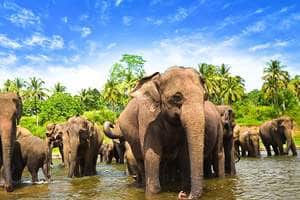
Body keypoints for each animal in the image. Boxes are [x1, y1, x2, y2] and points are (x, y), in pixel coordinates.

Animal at [103, 67, 206, 198]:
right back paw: (142, 185)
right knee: (141, 160)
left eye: (205, 97)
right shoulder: (147, 118)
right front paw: (153, 192)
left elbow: (184, 153)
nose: (183, 195)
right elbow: (152, 154)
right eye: (177, 97)